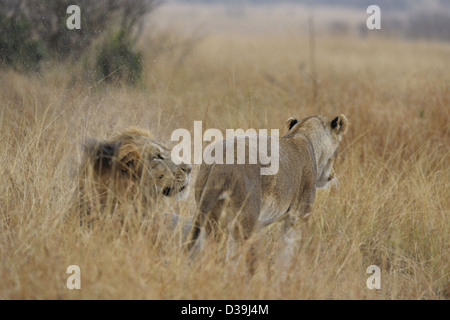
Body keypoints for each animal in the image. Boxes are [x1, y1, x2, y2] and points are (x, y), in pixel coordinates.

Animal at [188, 114, 350, 254]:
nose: (332, 175)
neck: (303, 134)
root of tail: (221, 161)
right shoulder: (299, 215)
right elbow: (290, 251)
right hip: (248, 218)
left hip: (212, 217)